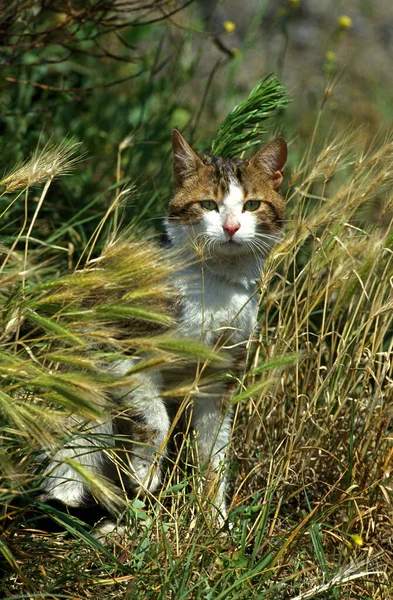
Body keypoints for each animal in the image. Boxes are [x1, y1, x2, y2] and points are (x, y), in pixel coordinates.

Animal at [41, 130, 286, 524]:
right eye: (208, 204)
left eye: (252, 205)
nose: (231, 227)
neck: (215, 284)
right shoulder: (117, 347)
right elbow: (154, 418)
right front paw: (146, 473)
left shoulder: (219, 380)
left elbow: (215, 454)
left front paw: (214, 520)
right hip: (81, 404)